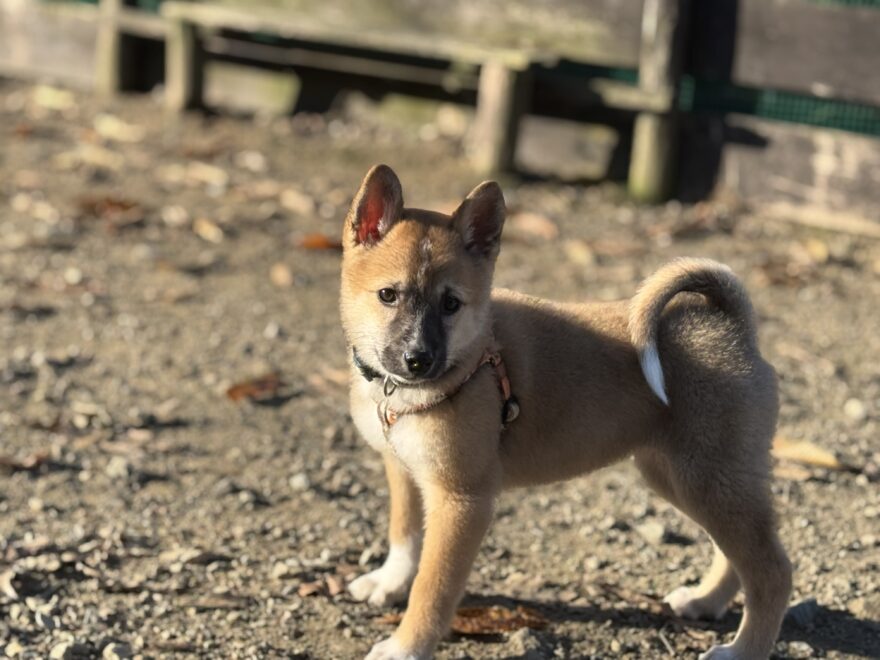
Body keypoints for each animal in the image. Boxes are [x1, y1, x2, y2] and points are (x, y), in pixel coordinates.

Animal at [340, 164, 792, 660]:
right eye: (388, 295)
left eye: (451, 304)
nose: (418, 359)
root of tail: (729, 325)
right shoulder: (403, 471)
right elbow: (403, 534)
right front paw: (389, 581)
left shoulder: (462, 501)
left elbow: (432, 587)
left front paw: (406, 646)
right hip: (687, 479)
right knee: (735, 556)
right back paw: (705, 600)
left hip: (709, 480)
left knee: (772, 573)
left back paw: (742, 649)